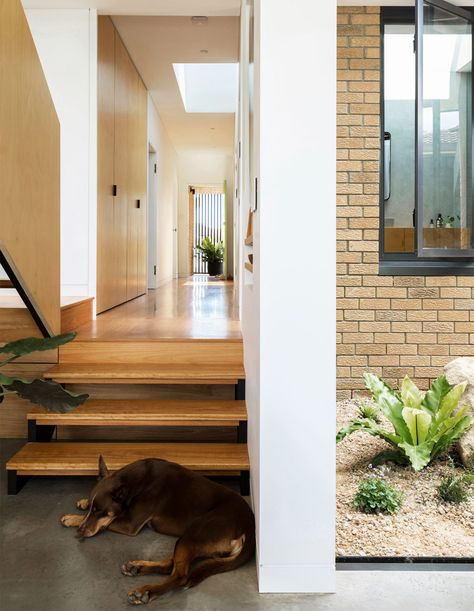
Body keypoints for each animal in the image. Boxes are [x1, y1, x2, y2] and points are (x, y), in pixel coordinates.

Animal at [59, 456, 256, 604]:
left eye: (99, 511)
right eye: (93, 509)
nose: (80, 531)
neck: (137, 480)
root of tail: (249, 528)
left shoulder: (130, 524)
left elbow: (108, 522)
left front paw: (73, 518)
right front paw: (83, 502)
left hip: (194, 534)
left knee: (180, 575)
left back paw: (145, 592)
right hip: (190, 539)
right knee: (171, 565)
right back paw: (137, 567)